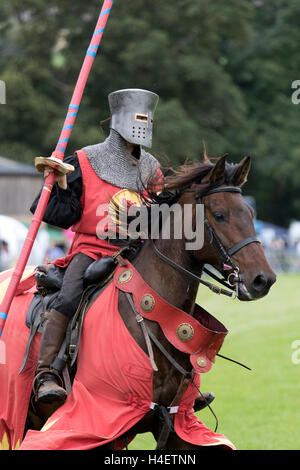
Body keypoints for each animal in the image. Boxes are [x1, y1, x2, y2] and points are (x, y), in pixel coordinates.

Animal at [0, 152, 276, 450]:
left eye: (250, 214)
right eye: (220, 215)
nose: (263, 279)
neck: (156, 317)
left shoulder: (176, 424)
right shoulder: (96, 423)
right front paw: (57, 174)